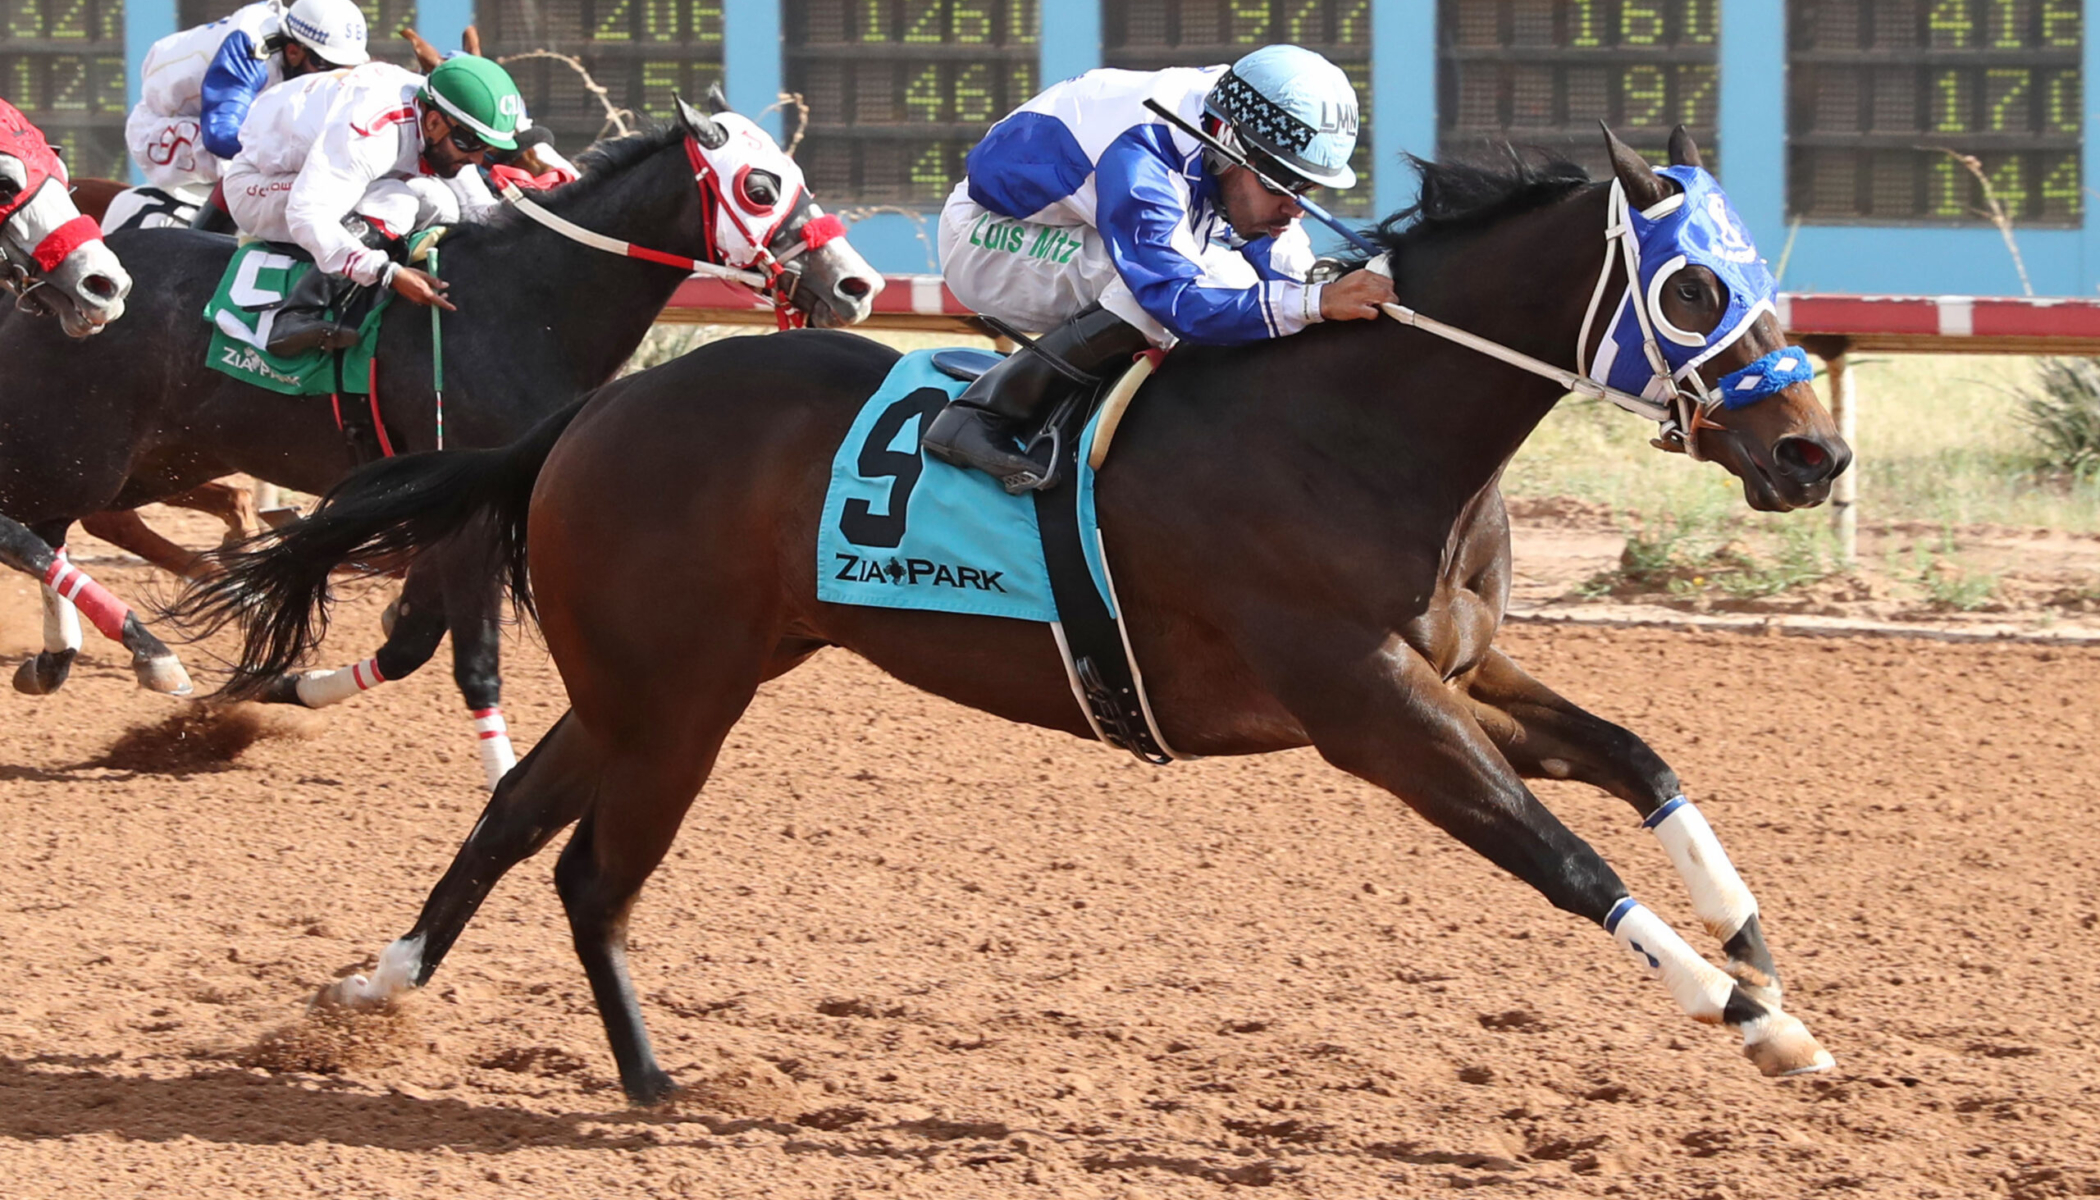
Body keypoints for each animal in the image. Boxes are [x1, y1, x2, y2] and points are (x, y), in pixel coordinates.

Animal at [0, 91, 869, 777]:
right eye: (761, 186)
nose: (856, 284)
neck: (524, 304)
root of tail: (63, 285)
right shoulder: (475, 503)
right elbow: (470, 657)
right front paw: (501, 776)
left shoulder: (453, 497)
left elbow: (411, 640)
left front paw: (283, 683)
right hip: (81, 447)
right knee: (31, 526)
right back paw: (150, 651)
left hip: (147, 456)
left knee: (65, 525)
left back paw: (66, 655)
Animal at [188, 126, 1847, 1101]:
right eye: (1696, 292)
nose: (1813, 453)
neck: (1360, 422)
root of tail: (587, 417)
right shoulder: (1366, 705)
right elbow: (1562, 856)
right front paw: (1752, 1018)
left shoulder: (1461, 665)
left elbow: (1641, 763)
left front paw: (1756, 946)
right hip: (678, 702)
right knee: (590, 871)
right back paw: (656, 1088)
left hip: (663, 683)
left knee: (517, 810)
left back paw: (374, 987)